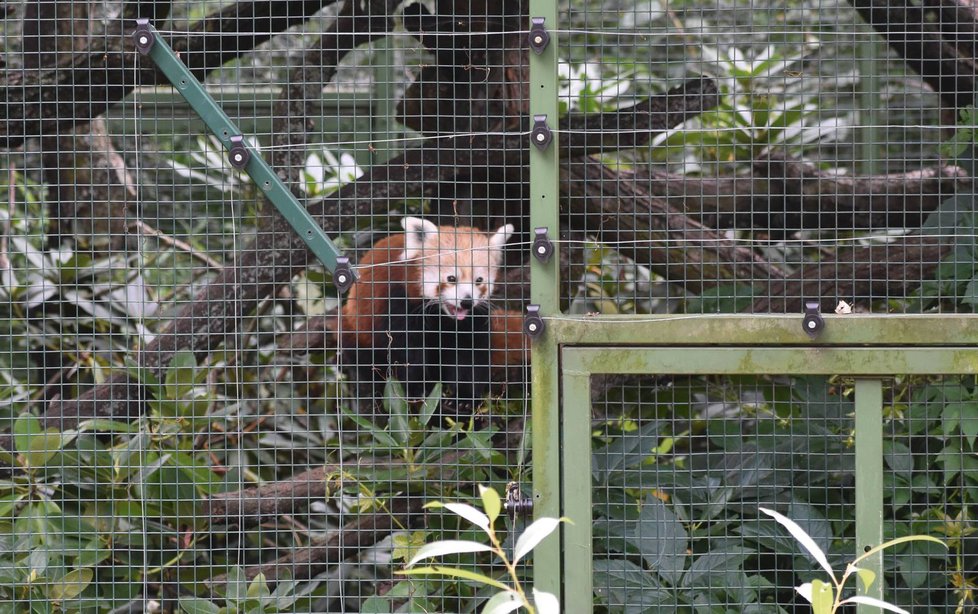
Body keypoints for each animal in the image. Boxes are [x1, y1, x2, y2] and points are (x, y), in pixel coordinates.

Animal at [342, 218, 528, 414]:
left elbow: (469, 354)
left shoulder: (474, 319)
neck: (442, 315)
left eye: (479, 280)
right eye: (451, 278)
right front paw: (419, 389)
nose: (467, 302)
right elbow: (407, 351)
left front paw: (465, 398)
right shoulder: (398, 303)